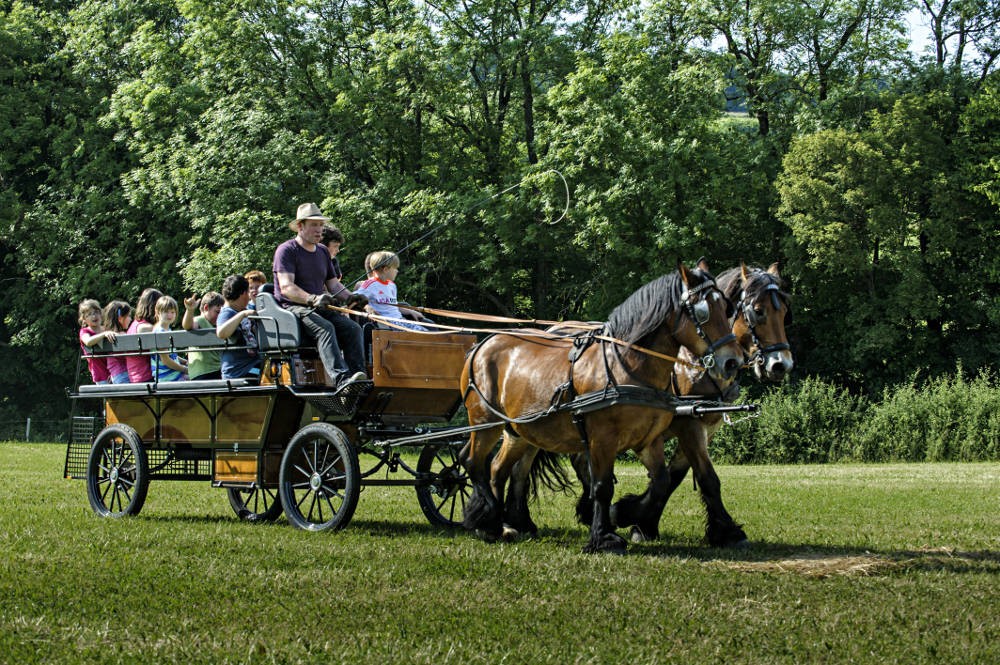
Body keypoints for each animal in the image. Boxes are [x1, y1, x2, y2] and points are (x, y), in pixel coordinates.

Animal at [458, 262, 744, 552]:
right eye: (702, 312)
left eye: (727, 308)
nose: (733, 362)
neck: (627, 366)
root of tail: (483, 345)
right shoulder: (603, 437)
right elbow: (603, 486)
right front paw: (605, 535)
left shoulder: (648, 439)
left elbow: (662, 482)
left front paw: (627, 514)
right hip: (485, 422)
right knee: (473, 462)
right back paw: (489, 517)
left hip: (518, 430)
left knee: (497, 468)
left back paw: (497, 524)